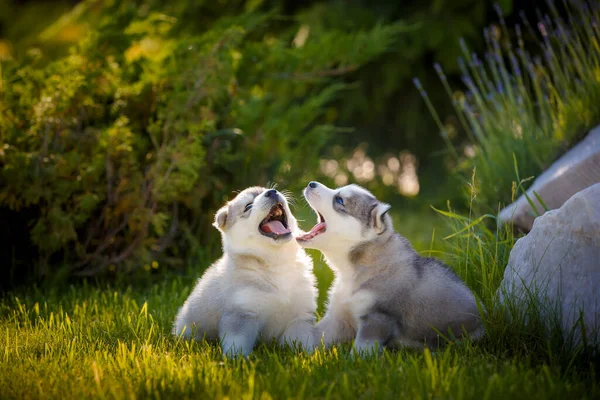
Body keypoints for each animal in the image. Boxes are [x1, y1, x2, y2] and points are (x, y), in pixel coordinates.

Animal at [172, 187, 318, 356]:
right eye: (248, 206)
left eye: (269, 189)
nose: (272, 192)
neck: (275, 262)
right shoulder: (241, 313)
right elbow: (238, 342)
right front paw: (237, 359)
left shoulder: (300, 315)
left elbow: (301, 341)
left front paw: (306, 356)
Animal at [298, 181, 486, 354]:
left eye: (339, 200)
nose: (311, 183)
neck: (351, 271)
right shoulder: (338, 317)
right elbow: (315, 335)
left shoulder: (377, 318)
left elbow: (360, 349)